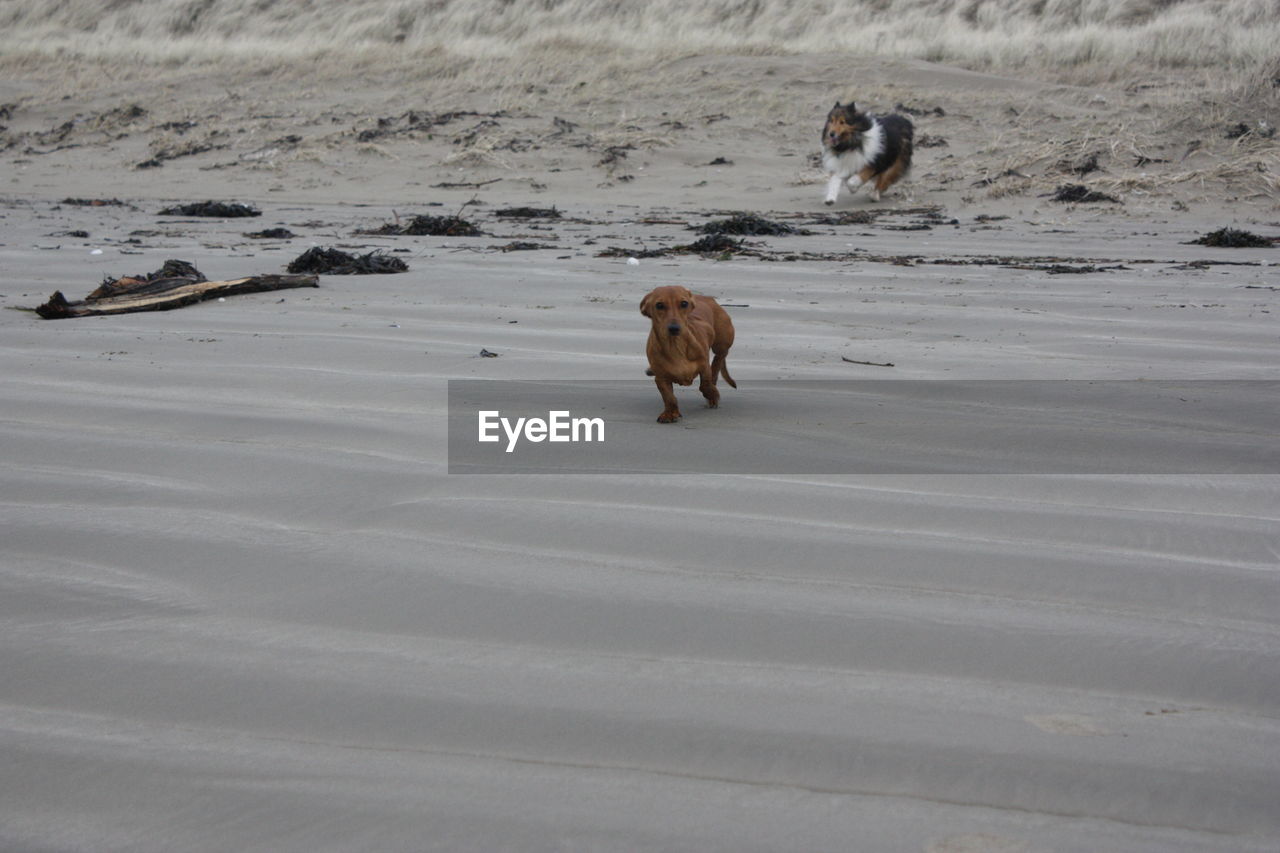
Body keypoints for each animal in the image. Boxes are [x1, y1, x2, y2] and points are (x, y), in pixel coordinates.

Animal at [637, 284, 737, 420]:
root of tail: (708, 298)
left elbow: (705, 384)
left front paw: (712, 395)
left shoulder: (704, 365)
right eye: (659, 305)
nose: (674, 328)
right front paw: (670, 413)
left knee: (719, 359)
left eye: (684, 303)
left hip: (721, 343)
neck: (675, 346)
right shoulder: (661, 378)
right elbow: (669, 397)